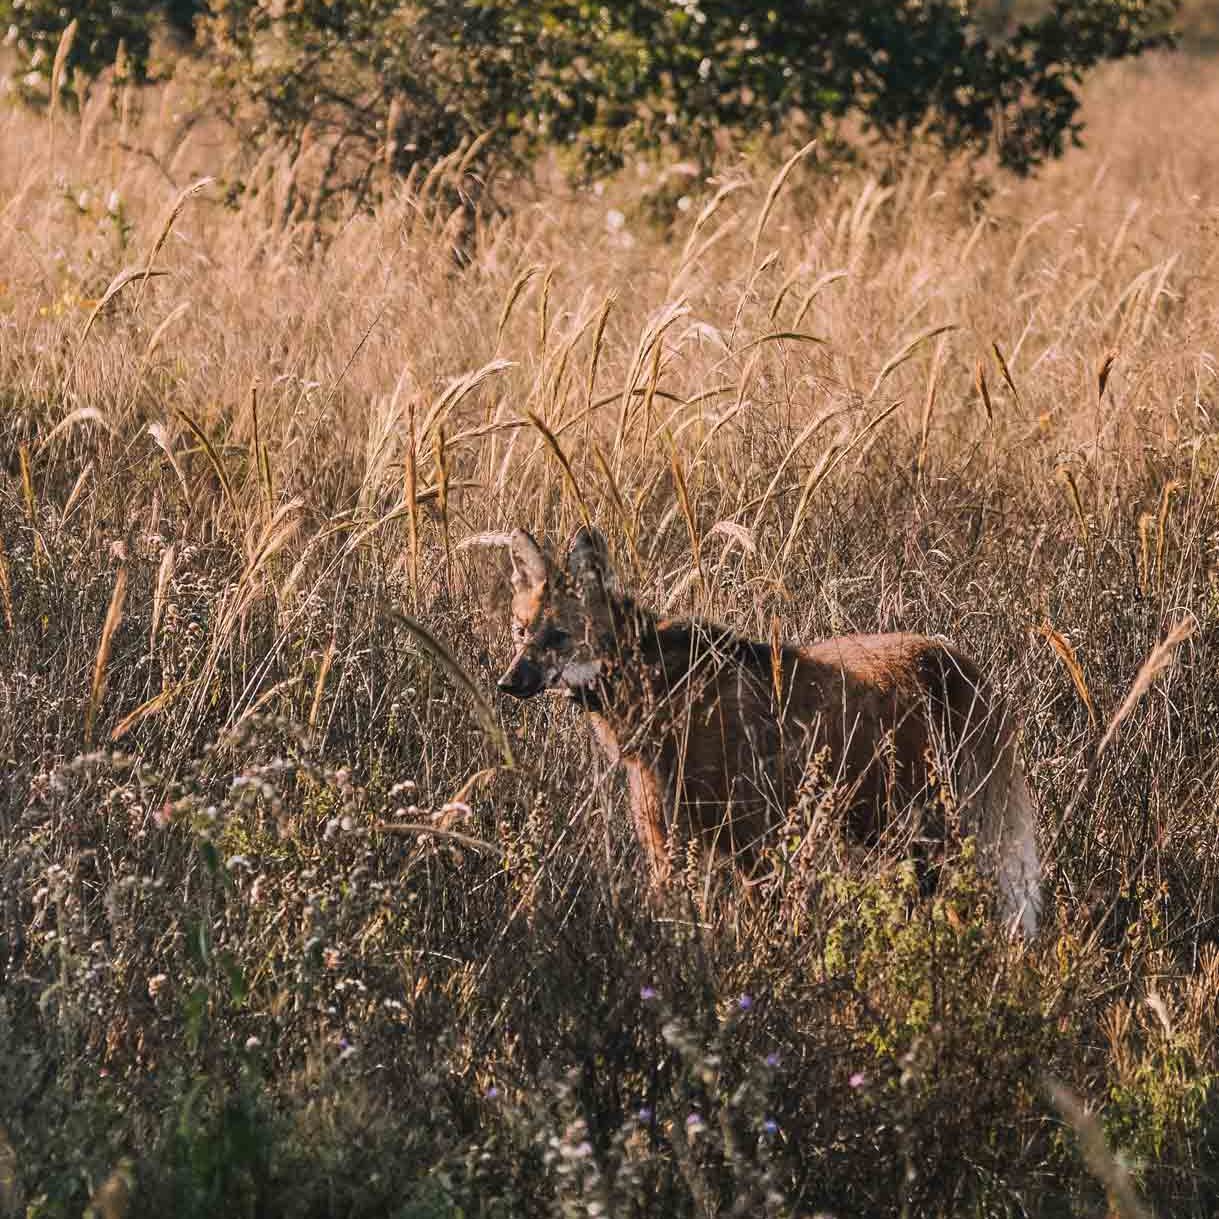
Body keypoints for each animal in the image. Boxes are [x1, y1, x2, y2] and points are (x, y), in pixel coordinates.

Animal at [492, 524, 1038, 931]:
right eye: (521, 632)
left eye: (559, 637)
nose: (509, 682)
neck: (656, 686)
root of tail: (958, 663)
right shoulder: (671, 842)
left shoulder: (753, 840)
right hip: (893, 831)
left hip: (933, 826)